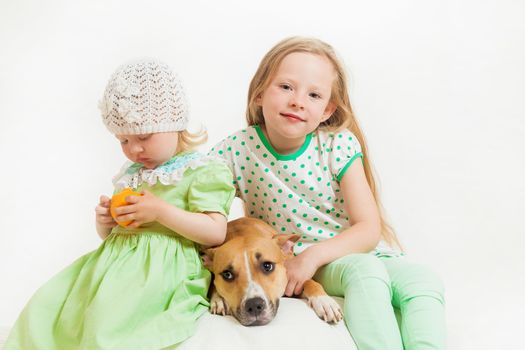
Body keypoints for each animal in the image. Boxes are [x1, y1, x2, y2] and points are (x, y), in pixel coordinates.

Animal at [199, 217, 342, 326]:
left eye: (267, 266)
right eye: (227, 274)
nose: (254, 306)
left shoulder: (293, 279)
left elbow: (309, 282)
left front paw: (324, 301)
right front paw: (219, 299)